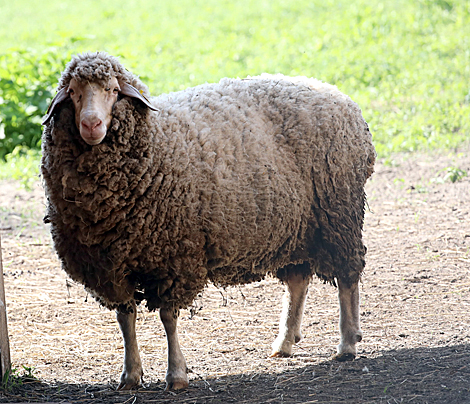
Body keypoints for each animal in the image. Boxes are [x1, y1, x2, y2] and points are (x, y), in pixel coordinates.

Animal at [42, 52, 376, 390]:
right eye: (73, 92)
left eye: (112, 90)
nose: (91, 124)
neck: (157, 141)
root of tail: (338, 94)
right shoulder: (109, 269)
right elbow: (125, 318)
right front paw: (131, 375)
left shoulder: (175, 260)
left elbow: (168, 318)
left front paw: (176, 374)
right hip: (295, 227)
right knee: (297, 281)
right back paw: (284, 343)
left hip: (338, 216)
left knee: (348, 277)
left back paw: (347, 343)